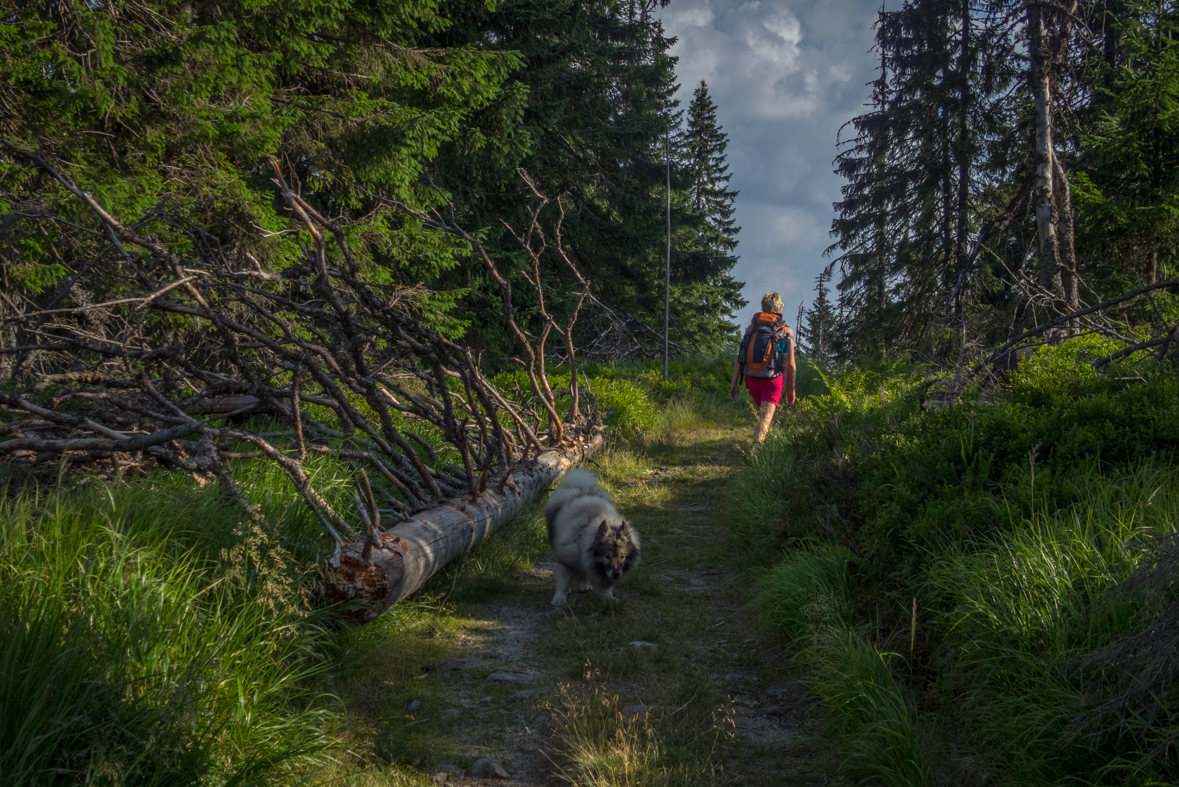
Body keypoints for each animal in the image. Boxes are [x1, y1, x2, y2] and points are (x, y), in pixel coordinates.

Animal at [544, 471, 641, 607]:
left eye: (622, 556)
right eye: (607, 556)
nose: (616, 573)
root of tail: (581, 486)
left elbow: (607, 587)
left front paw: (608, 598)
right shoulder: (567, 560)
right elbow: (563, 582)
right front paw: (559, 598)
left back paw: (586, 585)